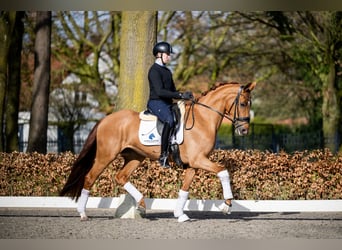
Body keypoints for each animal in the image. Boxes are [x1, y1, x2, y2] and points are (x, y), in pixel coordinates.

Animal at [59, 81, 256, 222]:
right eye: (243, 103)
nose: (244, 130)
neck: (202, 119)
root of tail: (105, 120)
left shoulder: (193, 164)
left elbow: (184, 189)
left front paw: (180, 214)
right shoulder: (199, 160)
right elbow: (223, 171)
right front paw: (227, 205)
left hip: (135, 157)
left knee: (121, 177)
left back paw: (141, 203)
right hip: (105, 156)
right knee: (90, 177)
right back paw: (83, 214)